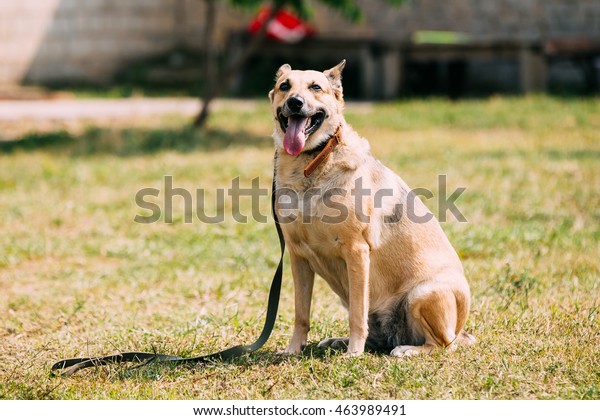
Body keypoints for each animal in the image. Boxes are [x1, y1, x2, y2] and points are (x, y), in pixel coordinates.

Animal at [268, 60, 474, 358]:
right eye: (285, 86)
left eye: (315, 87)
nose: (295, 102)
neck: (313, 161)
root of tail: (462, 331)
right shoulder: (298, 257)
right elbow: (301, 313)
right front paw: (294, 349)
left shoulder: (356, 251)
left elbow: (357, 313)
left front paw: (354, 353)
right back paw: (338, 341)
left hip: (422, 295)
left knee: (442, 344)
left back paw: (406, 349)